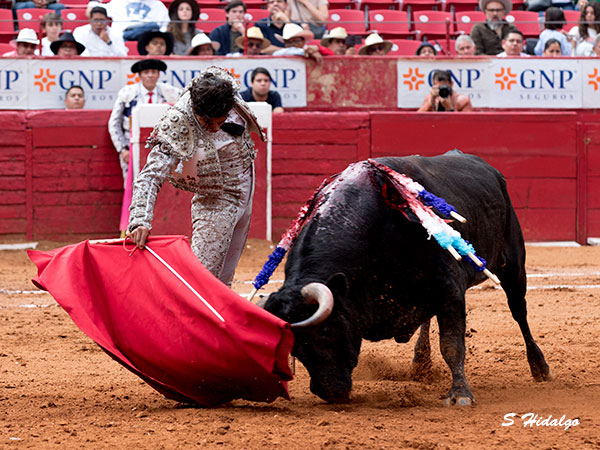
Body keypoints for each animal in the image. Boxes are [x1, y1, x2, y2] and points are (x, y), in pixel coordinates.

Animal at [262, 153, 552, 406]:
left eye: (325, 331)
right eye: (296, 349)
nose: (329, 393)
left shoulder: (450, 289)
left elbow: (451, 344)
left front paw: (460, 394)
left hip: (512, 266)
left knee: (519, 311)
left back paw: (540, 367)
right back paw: (420, 364)